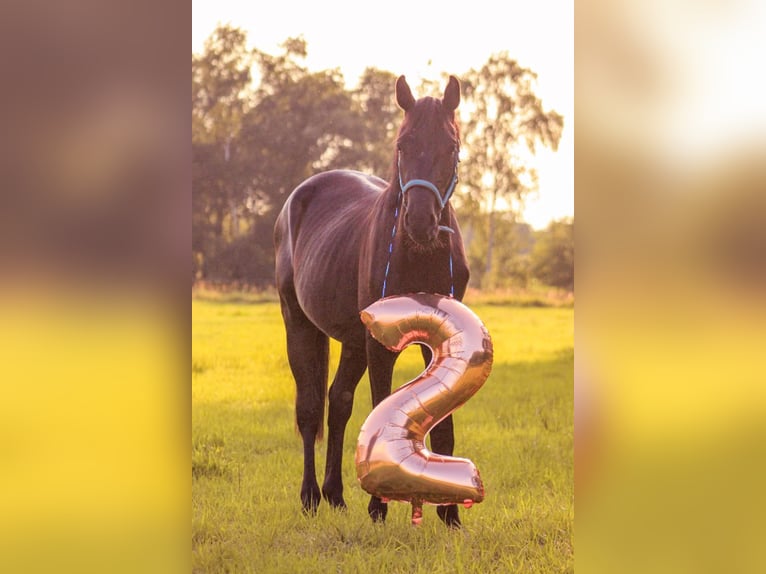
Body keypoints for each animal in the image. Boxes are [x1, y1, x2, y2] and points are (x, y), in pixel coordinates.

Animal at [272, 76, 472, 532]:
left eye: (450, 146)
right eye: (402, 143)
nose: (420, 222)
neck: (419, 255)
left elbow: (443, 426)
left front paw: (450, 515)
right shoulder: (380, 344)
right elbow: (381, 408)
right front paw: (379, 508)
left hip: (352, 340)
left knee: (339, 401)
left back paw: (335, 494)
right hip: (299, 322)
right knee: (310, 407)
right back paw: (311, 496)